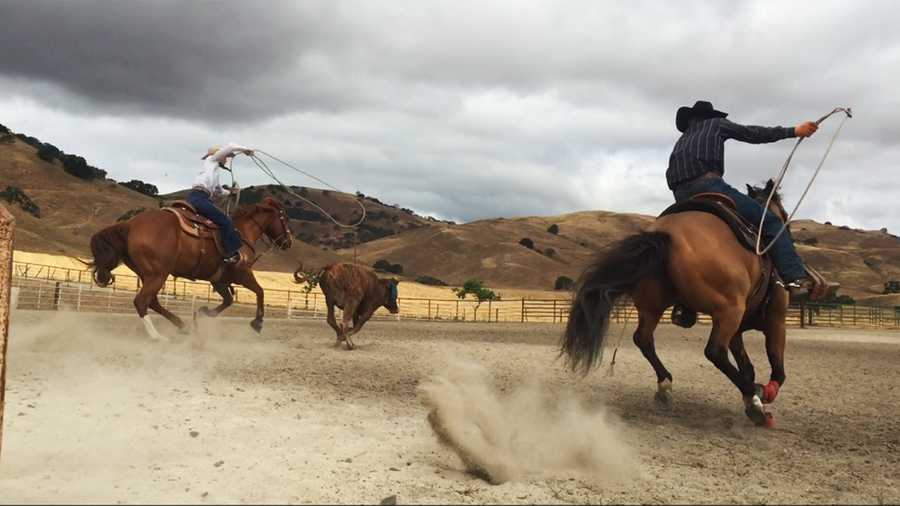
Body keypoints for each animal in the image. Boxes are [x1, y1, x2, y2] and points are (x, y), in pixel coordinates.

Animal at [85, 198, 292, 340]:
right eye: (285, 218)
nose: (288, 242)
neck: (241, 234)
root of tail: (130, 224)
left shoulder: (218, 280)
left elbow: (228, 300)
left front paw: (203, 313)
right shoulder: (242, 273)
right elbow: (260, 291)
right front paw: (258, 323)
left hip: (148, 274)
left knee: (152, 302)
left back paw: (182, 325)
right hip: (158, 274)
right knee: (142, 302)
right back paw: (158, 336)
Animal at [564, 180, 796, 424]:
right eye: (784, 214)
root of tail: (666, 233)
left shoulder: (738, 330)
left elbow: (747, 366)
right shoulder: (775, 320)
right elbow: (777, 367)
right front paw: (764, 392)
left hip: (652, 307)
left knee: (643, 339)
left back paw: (665, 385)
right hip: (728, 310)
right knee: (715, 351)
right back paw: (755, 403)